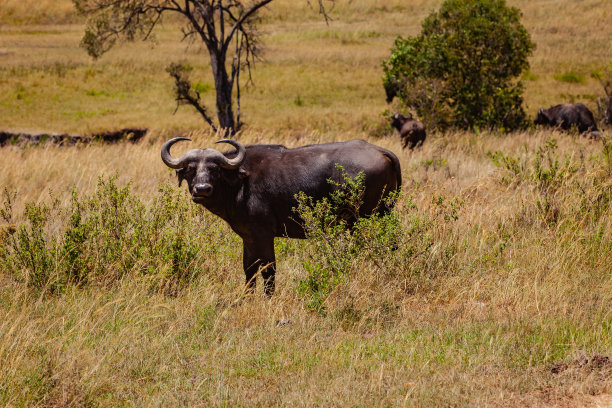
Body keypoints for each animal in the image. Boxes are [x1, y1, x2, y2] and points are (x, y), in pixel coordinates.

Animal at [160, 139, 404, 294]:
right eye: (191, 169)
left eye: (214, 168)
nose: (202, 189)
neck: (240, 182)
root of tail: (379, 150)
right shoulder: (248, 237)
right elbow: (249, 269)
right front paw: (247, 298)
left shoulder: (264, 235)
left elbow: (269, 269)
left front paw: (269, 298)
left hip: (366, 220)